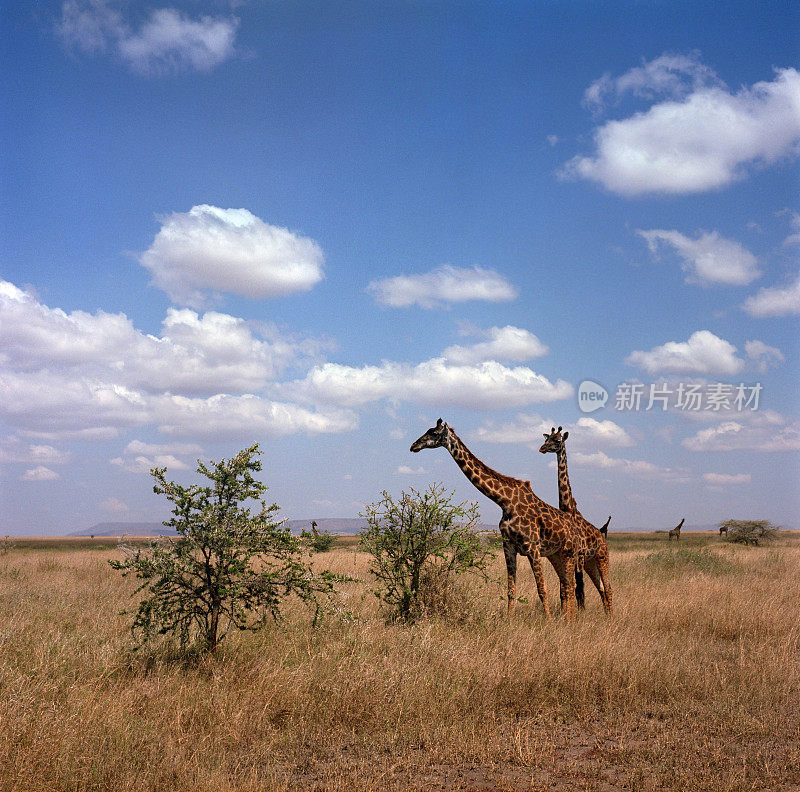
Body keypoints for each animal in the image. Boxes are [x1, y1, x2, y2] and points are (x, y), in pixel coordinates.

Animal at [412, 418, 588, 620]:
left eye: (433, 433)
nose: (413, 446)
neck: (504, 501)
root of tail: (574, 526)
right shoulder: (508, 546)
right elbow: (511, 589)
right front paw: (509, 620)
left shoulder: (533, 547)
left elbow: (542, 589)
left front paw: (549, 621)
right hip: (557, 554)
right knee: (567, 584)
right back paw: (566, 618)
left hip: (570, 553)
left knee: (571, 585)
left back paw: (570, 619)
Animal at [540, 424, 616, 616]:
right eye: (546, 438)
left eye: (557, 440)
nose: (542, 448)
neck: (567, 508)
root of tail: (603, 538)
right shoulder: (570, 557)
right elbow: (564, 589)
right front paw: (565, 614)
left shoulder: (579, 557)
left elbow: (579, 590)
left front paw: (579, 615)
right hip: (591, 563)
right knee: (601, 589)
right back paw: (606, 615)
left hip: (602, 558)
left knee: (608, 588)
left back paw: (611, 617)